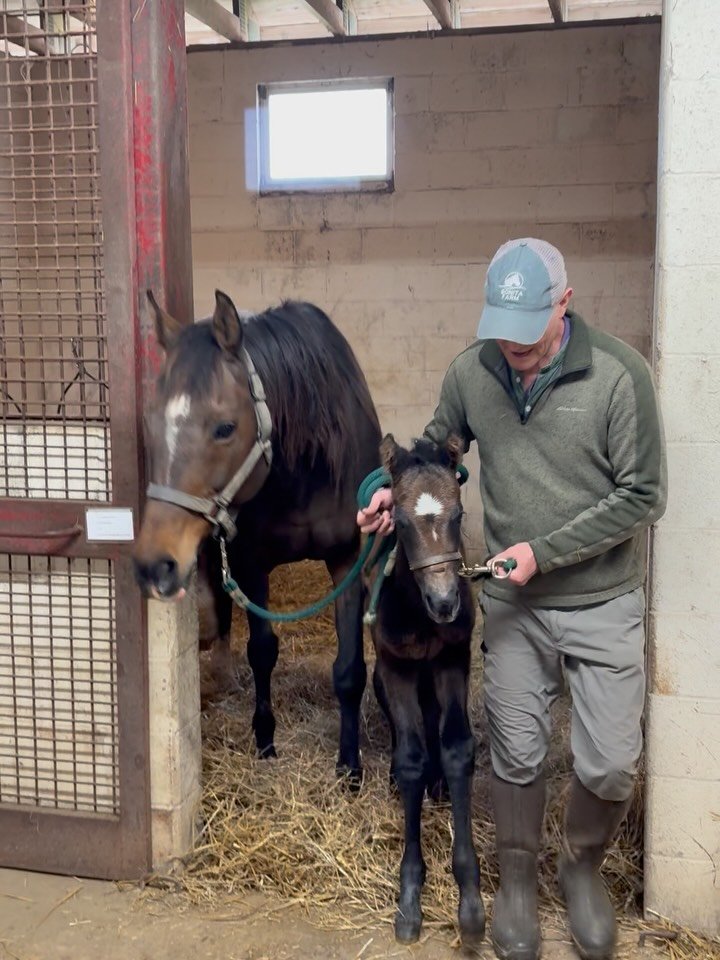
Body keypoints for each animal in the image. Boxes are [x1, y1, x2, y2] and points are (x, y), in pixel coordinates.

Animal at [132, 289, 381, 782]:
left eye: (225, 427)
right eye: (150, 423)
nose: (154, 565)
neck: (304, 469)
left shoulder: (347, 560)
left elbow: (349, 669)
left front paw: (349, 764)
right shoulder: (249, 561)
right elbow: (262, 650)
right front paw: (265, 740)